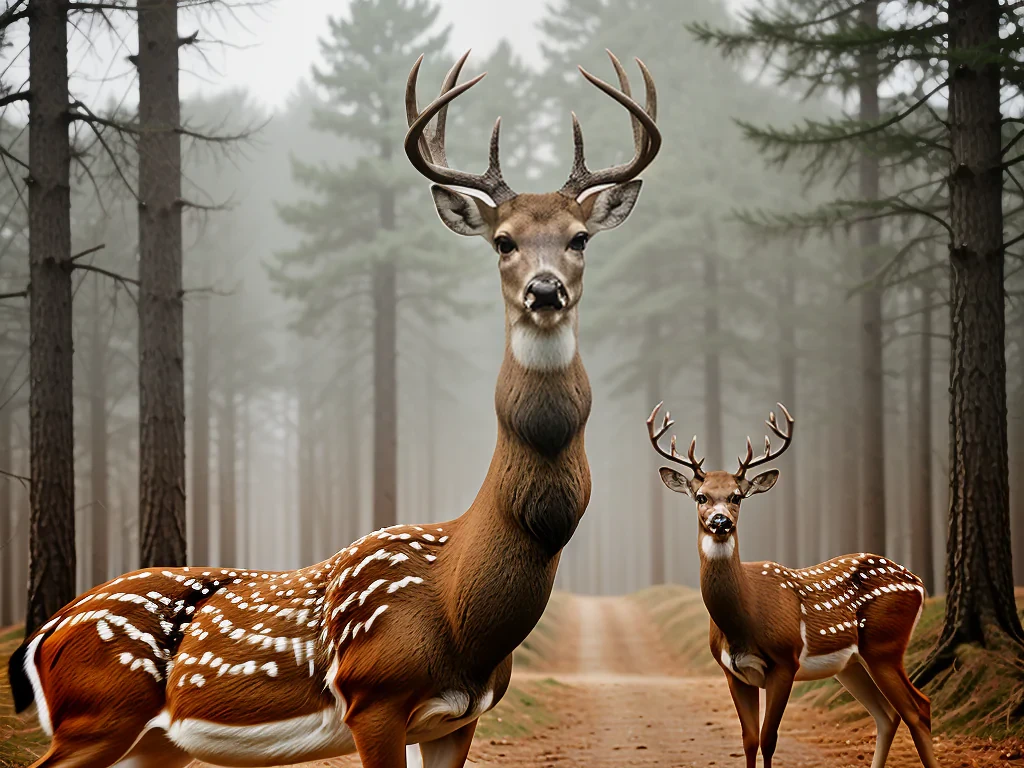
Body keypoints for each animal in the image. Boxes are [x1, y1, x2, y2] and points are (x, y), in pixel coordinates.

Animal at [7, 50, 661, 768]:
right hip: (97, 712)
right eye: (503, 242)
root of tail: (42, 635)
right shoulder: (374, 695)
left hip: (154, 741)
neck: (460, 608)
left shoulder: (458, 717)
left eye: (580, 238)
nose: (545, 291)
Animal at [646, 402, 938, 768]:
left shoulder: (785, 661)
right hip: (851, 665)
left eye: (737, 497)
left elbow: (769, 739)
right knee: (887, 715)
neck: (743, 620)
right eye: (701, 497)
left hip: (884, 645)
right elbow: (748, 740)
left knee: (919, 708)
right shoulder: (732, 672)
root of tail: (919, 583)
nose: (721, 522)